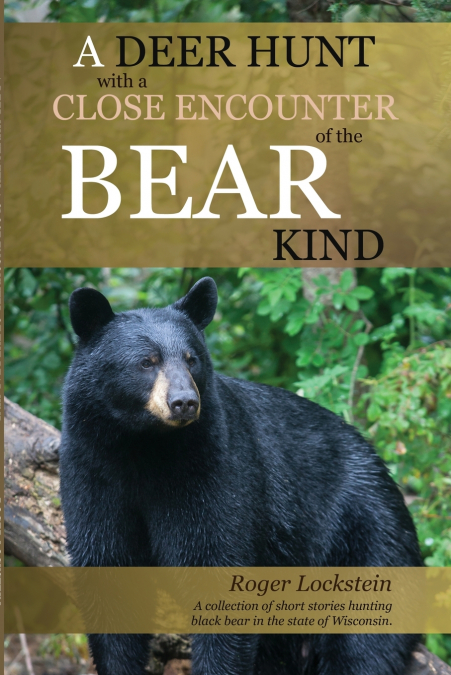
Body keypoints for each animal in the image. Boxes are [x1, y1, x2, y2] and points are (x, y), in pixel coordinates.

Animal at [59, 276, 422, 675]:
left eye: (192, 359)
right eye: (146, 362)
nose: (184, 402)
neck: (144, 447)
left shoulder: (212, 469)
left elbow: (217, 568)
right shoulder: (92, 470)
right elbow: (108, 569)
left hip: (365, 534)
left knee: (365, 643)